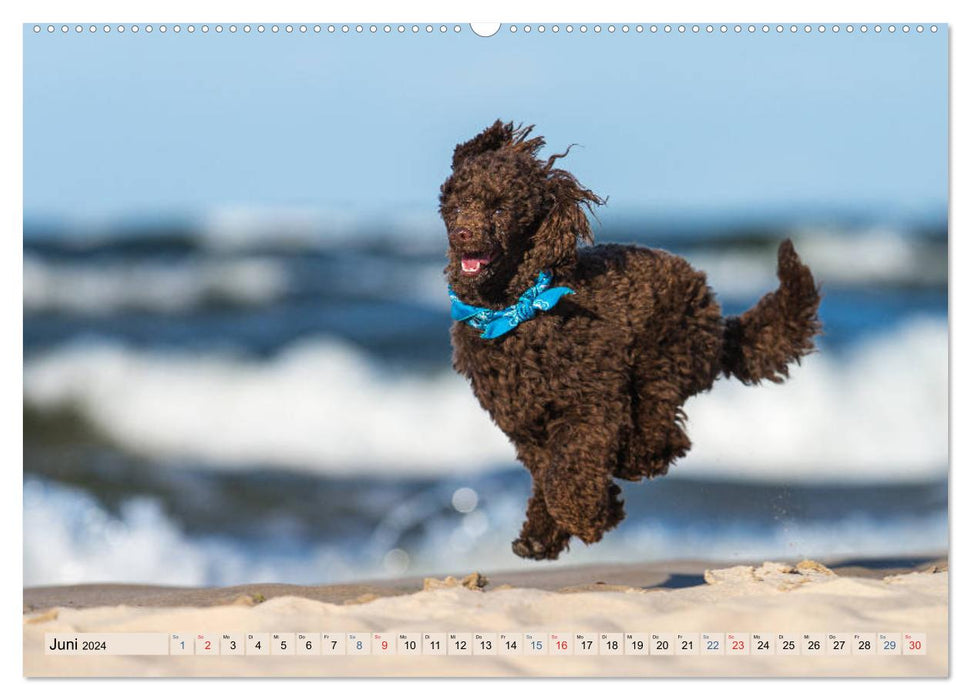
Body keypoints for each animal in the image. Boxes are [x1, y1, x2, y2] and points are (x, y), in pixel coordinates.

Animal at [440, 119, 820, 556]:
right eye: (456, 205)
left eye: (500, 208)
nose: (463, 233)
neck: (512, 310)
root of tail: (717, 316)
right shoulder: (525, 422)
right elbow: (548, 475)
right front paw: (547, 531)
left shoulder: (591, 406)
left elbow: (567, 475)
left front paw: (589, 518)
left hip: (663, 356)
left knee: (663, 431)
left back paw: (639, 458)